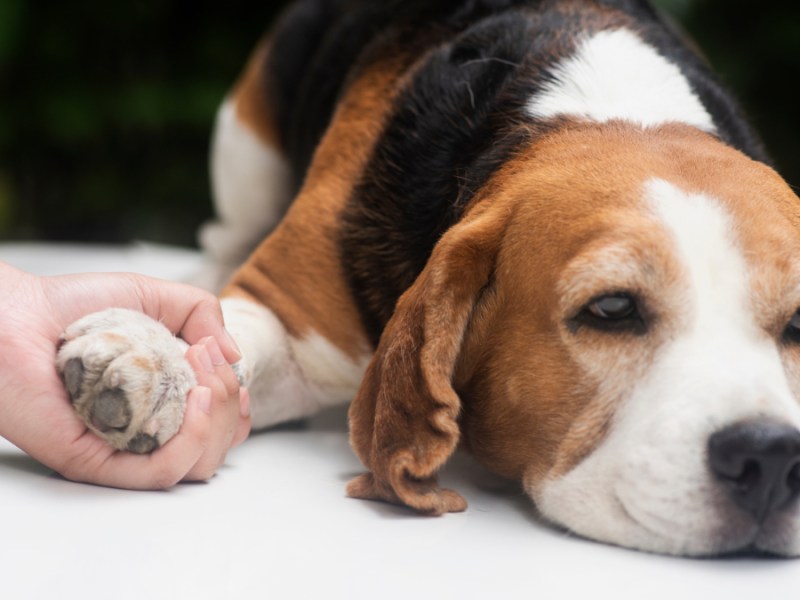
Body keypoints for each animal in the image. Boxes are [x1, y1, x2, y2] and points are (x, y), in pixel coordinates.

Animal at [54, 0, 800, 556]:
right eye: (612, 309)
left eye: (796, 324)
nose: (772, 460)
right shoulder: (289, 316)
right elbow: (228, 335)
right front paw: (153, 359)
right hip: (246, 141)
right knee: (224, 233)